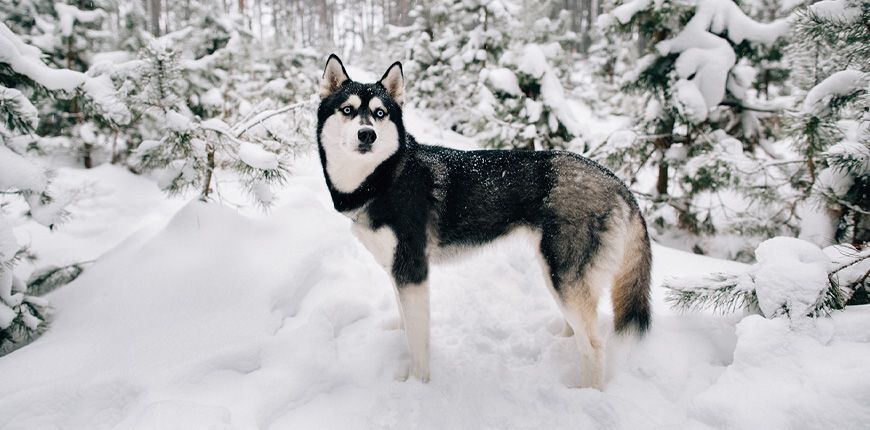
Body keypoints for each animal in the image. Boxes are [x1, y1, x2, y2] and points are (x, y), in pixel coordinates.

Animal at [316, 53, 652, 390]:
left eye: (379, 113)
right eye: (348, 109)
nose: (367, 134)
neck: (384, 177)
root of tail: (616, 181)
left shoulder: (413, 271)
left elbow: (418, 342)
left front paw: (416, 384)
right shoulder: (397, 269)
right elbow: (404, 321)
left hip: (562, 276)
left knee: (593, 345)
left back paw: (585, 392)